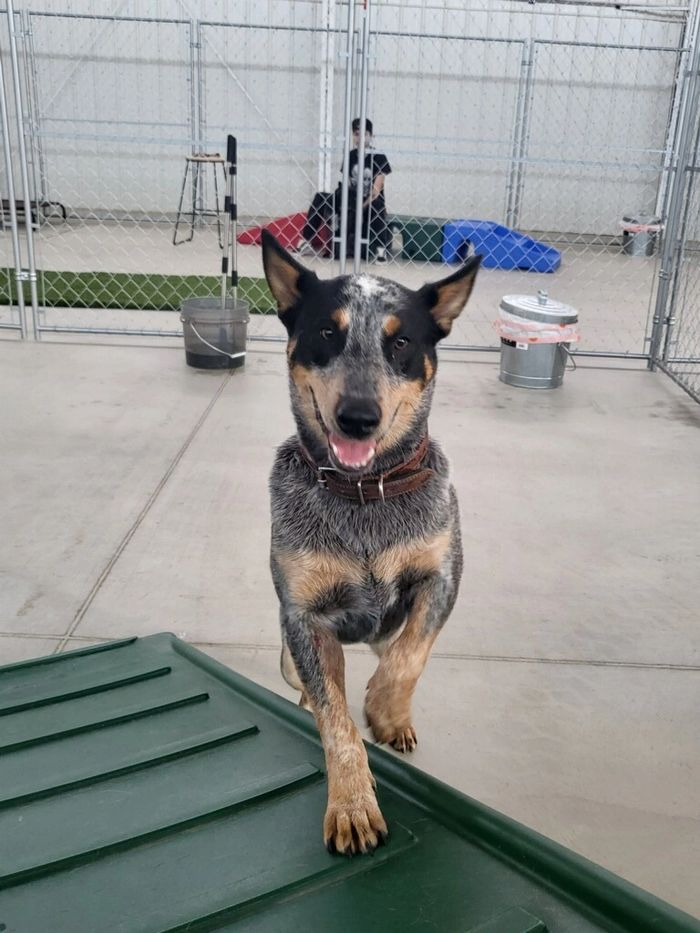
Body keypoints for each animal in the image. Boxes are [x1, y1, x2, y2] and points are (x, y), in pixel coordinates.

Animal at [262, 231, 482, 852]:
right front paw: (352, 804)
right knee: (312, 687)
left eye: (401, 341)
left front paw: (385, 712)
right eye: (326, 333)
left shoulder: (443, 578)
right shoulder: (303, 618)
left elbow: (410, 658)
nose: (358, 416)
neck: (364, 496)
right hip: (288, 657)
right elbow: (335, 721)